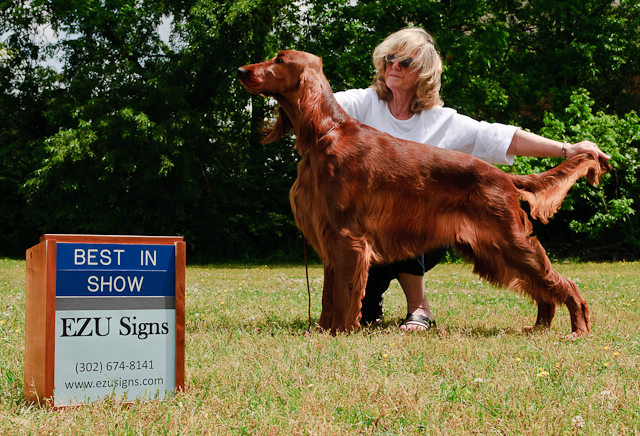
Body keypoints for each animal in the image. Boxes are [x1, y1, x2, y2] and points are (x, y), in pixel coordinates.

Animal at [238, 50, 608, 338]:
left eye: (279, 60)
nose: (241, 70)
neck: (324, 135)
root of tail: (504, 176)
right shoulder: (331, 237)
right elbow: (330, 293)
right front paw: (322, 329)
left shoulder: (347, 237)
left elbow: (343, 293)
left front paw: (340, 331)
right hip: (494, 251)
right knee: (542, 287)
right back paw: (539, 327)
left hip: (509, 242)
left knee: (563, 284)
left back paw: (578, 330)